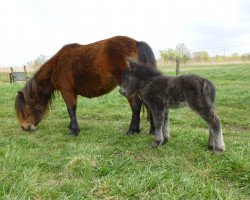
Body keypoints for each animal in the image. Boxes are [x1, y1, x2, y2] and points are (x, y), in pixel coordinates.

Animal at [14, 36, 155, 136]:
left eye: (24, 108)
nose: (24, 127)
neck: (56, 65)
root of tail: (136, 43)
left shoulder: (67, 91)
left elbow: (70, 109)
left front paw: (74, 131)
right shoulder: (72, 92)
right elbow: (72, 109)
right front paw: (71, 126)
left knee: (136, 104)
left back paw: (132, 130)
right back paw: (153, 130)